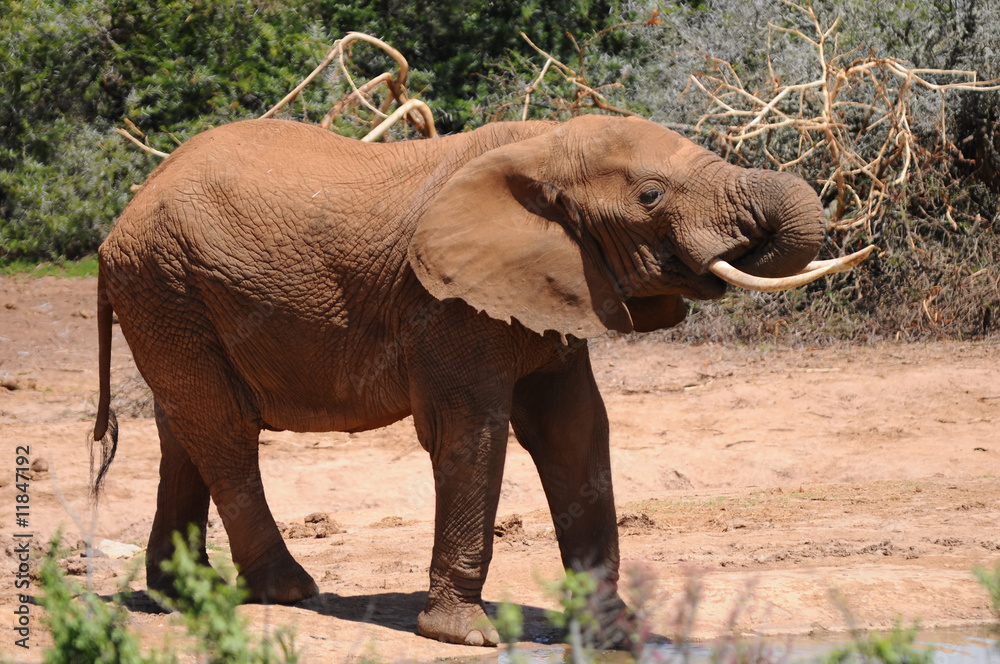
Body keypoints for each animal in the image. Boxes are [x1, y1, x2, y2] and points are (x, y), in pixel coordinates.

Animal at [91, 114, 870, 646]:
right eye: (651, 195)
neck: (542, 146)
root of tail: (116, 224)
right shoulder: (444, 302)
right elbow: (472, 432)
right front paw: (466, 636)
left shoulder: (554, 283)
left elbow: (576, 430)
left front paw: (615, 635)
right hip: (166, 282)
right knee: (222, 428)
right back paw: (288, 591)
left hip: (170, 294)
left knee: (184, 428)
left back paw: (178, 595)